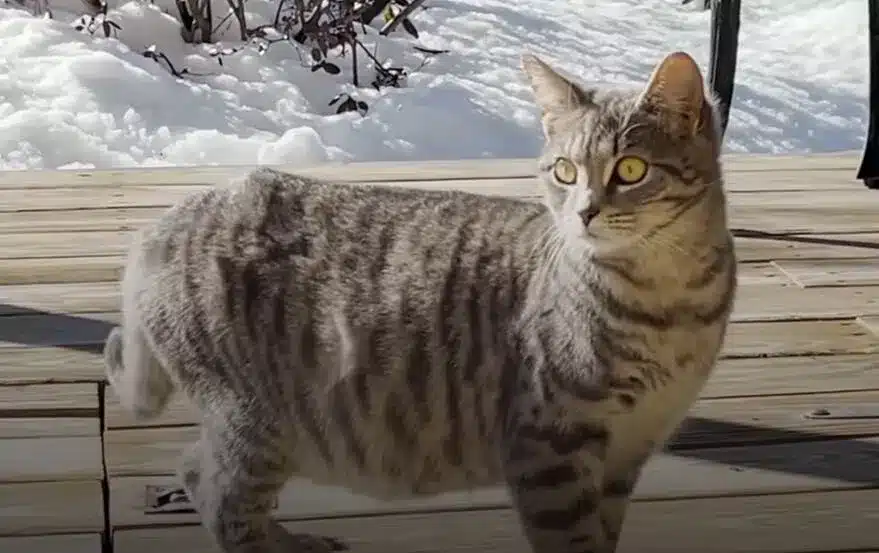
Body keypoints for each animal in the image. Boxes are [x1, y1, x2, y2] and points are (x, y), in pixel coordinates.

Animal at [103, 48, 736, 552]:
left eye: (630, 169)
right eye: (564, 170)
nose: (583, 212)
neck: (668, 301)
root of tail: (163, 225)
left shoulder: (626, 455)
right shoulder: (550, 450)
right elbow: (573, 542)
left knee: (199, 475)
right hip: (257, 423)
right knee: (224, 505)